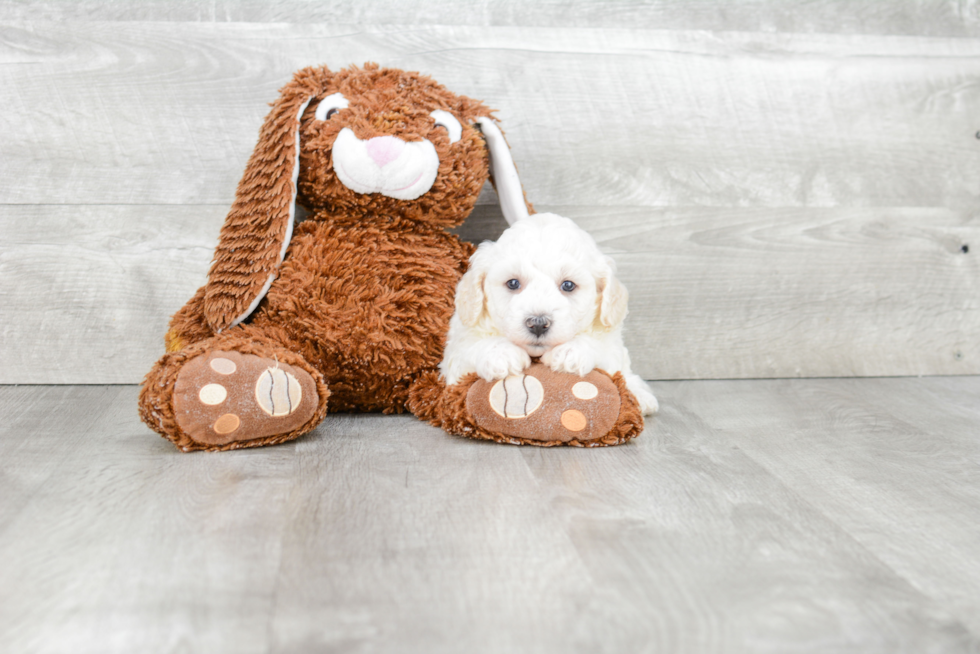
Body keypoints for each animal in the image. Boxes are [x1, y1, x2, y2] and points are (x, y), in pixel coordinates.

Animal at [442, 218, 660, 418]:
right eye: (513, 283)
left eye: (568, 285)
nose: (538, 324)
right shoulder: (455, 356)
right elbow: (469, 348)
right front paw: (501, 353)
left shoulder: (610, 343)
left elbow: (601, 348)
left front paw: (570, 351)